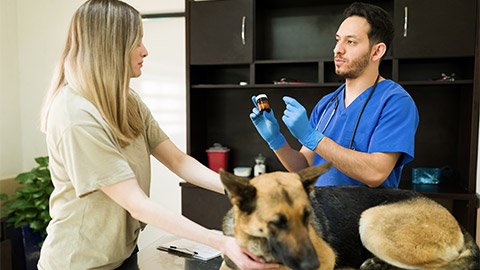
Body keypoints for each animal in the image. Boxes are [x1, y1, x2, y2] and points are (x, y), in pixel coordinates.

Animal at [219, 162, 478, 270]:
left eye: (307, 218)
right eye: (276, 223)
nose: (311, 263)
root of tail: (458, 224)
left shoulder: (325, 258)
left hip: (371, 222)